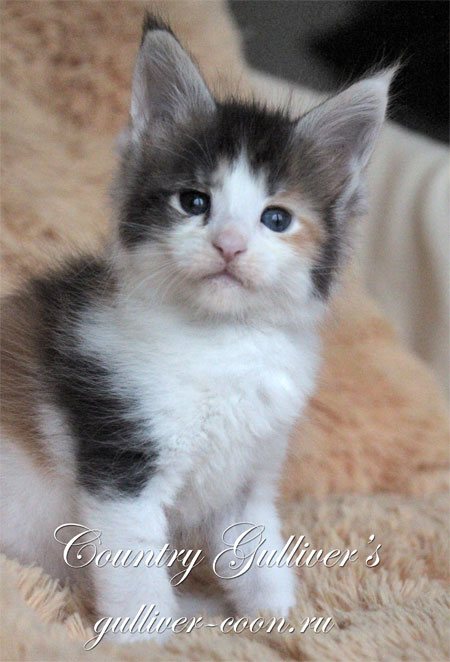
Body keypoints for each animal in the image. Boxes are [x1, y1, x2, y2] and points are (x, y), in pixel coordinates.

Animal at [0, 13, 392, 643]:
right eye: (194, 202)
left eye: (276, 218)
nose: (229, 245)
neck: (221, 342)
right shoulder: (122, 460)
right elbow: (134, 568)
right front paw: (146, 643)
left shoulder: (248, 476)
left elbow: (261, 555)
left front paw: (282, 623)